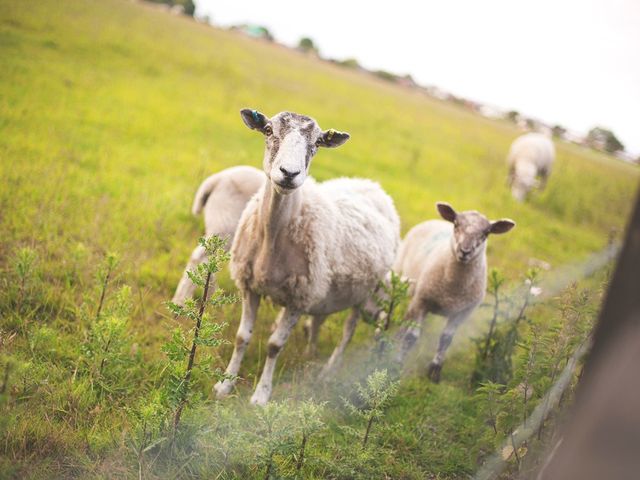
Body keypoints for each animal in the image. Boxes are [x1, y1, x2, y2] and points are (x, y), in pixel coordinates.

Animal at [214, 109, 400, 404]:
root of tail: (372, 186)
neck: (274, 235)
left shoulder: (298, 298)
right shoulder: (250, 285)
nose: (289, 173)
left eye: (317, 143)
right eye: (268, 130)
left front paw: (261, 396)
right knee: (321, 317)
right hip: (327, 285)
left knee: (348, 331)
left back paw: (330, 369)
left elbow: (274, 345)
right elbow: (242, 337)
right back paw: (311, 351)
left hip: (365, 291)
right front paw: (225, 385)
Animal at [396, 202, 516, 382]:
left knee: (407, 319)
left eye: (486, 233)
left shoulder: (463, 312)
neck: (453, 289)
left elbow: (446, 339)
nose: (465, 251)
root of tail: (434, 221)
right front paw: (397, 364)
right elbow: (411, 337)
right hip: (398, 275)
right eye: (456, 224)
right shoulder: (422, 301)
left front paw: (435, 371)